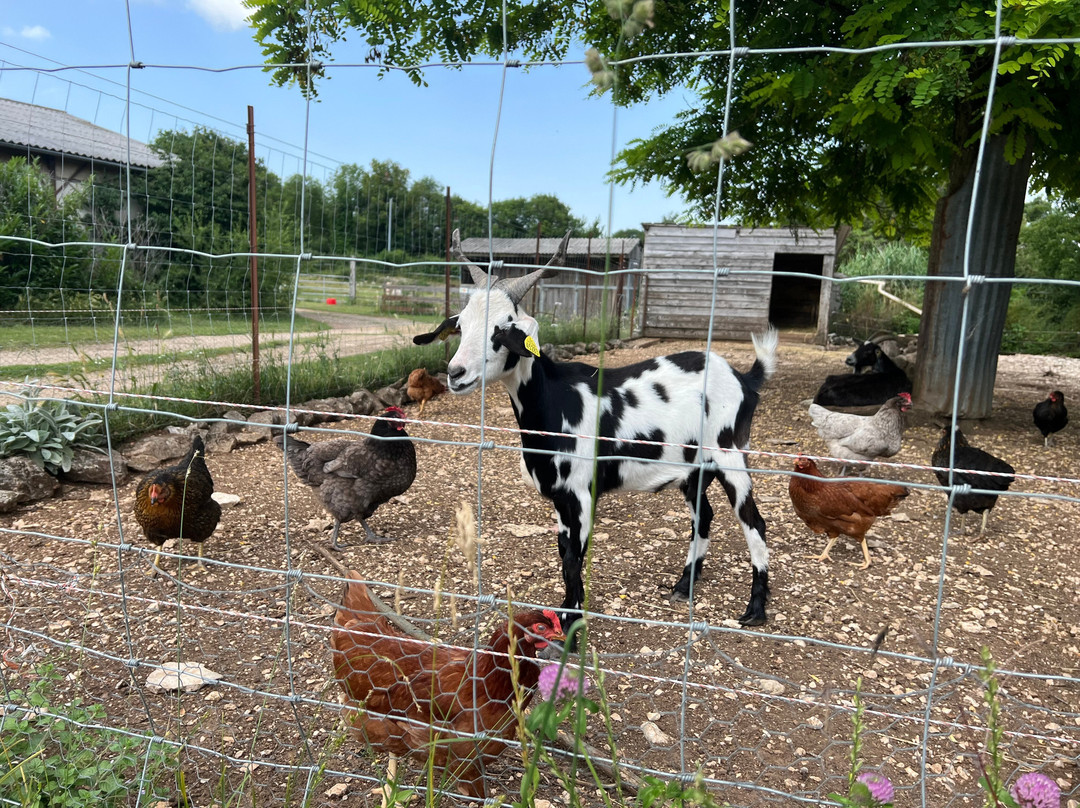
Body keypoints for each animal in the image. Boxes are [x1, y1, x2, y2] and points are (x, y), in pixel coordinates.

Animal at [412, 230, 777, 626]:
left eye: (504, 328)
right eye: (460, 325)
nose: (456, 373)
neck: (556, 401)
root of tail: (744, 378)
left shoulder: (582, 492)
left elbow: (574, 557)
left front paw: (572, 622)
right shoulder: (560, 497)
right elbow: (563, 551)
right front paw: (564, 610)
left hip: (731, 454)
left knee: (754, 521)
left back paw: (755, 610)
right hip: (695, 467)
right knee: (704, 517)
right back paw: (683, 586)